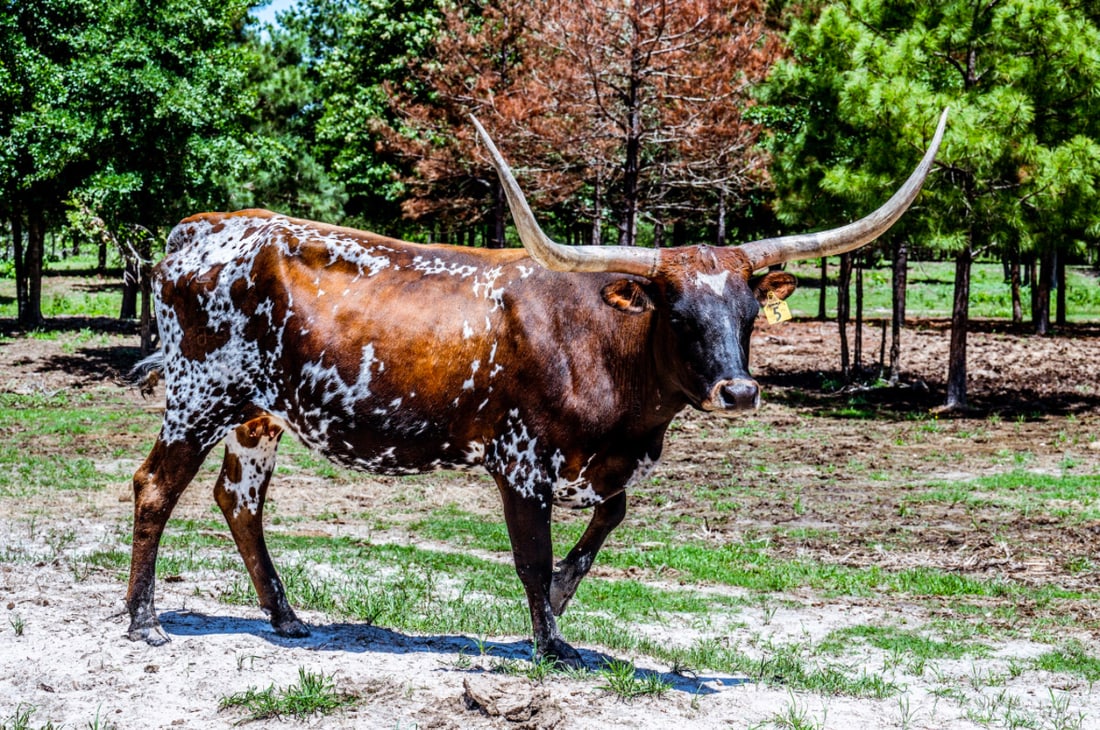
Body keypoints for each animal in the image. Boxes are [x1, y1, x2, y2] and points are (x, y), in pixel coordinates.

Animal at [126, 110, 947, 667]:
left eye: (748, 315)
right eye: (677, 314)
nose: (739, 393)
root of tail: (202, 228)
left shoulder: (603, 465)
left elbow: (603, 524)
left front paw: (555, 609)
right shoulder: (520, 461)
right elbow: (532, 552)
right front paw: (550, 643)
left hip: (257, 416)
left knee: (239, 499)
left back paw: (286, 617)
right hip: (199, 397)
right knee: (154, 487)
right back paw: (144, 620)